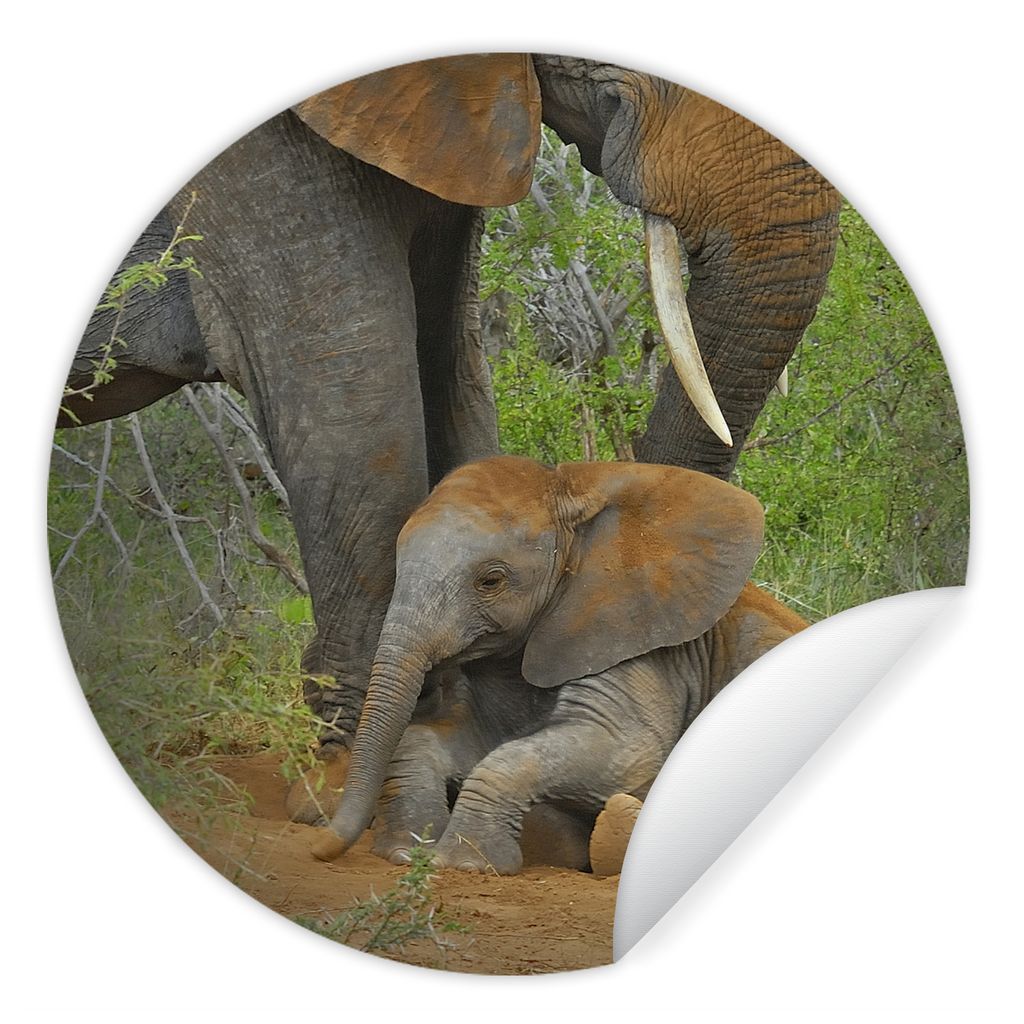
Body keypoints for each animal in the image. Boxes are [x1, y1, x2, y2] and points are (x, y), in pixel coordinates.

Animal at [310, 455, 807, 875]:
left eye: (491, 581)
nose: (319, 849)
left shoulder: (634, 641)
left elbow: (627, 750)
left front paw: (466, 864)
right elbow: (448, 740)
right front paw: (406, 851)